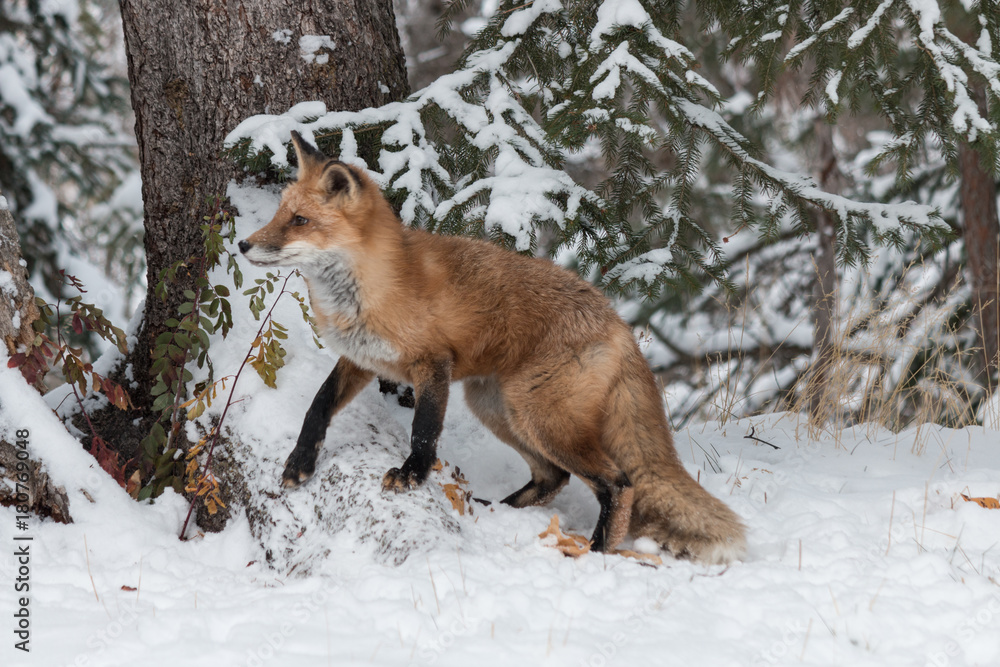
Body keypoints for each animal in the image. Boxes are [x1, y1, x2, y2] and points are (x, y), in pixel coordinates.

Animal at [238, 132, 746, 564]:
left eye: (300, 221)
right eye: (280, 213)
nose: (243, 244)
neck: (372, 288)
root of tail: (618, 320)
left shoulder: (433, 365)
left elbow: (424, 431)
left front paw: (412, 474)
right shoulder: (362, 359)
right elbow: (318, 405)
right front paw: (300, 462)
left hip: (540, 415)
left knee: (617, 483)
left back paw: (596, 552)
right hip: (497, 406)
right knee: (553, 476)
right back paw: (493, 509)